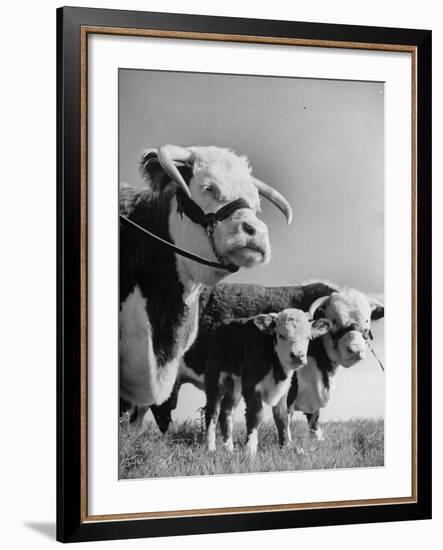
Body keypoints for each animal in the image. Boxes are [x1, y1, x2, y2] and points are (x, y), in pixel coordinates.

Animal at [204, 310, 330, 458]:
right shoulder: (251, 386)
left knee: (227, 411)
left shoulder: (284, 388)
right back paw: (210, 447)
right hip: (214, 378)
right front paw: (250, 449)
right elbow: (256, 414)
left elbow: (282, 416)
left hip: (235, 385)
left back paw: (229, 448)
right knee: (212, 411)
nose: (298, 356)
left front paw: (286, 446)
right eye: (281, 335)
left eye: (308, 337)